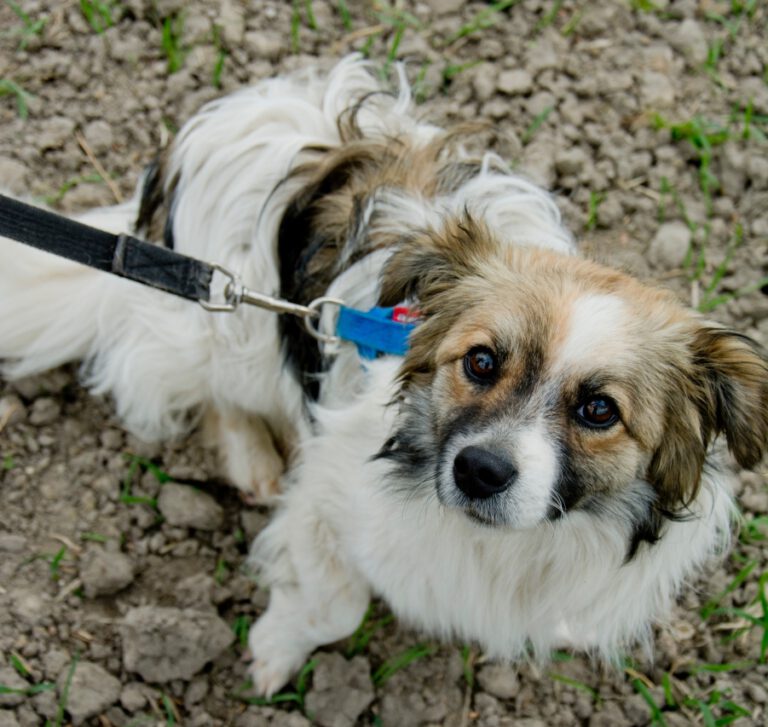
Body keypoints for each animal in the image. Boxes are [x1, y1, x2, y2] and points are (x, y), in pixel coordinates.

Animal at [1, 55, 768, 692]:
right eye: (480, 361)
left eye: (600, 410)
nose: (479, 472)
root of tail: (242, 114)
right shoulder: (324, 496)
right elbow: (334, 604)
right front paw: (274, 649)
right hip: (226, 327)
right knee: (205, 386)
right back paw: (251, 458)